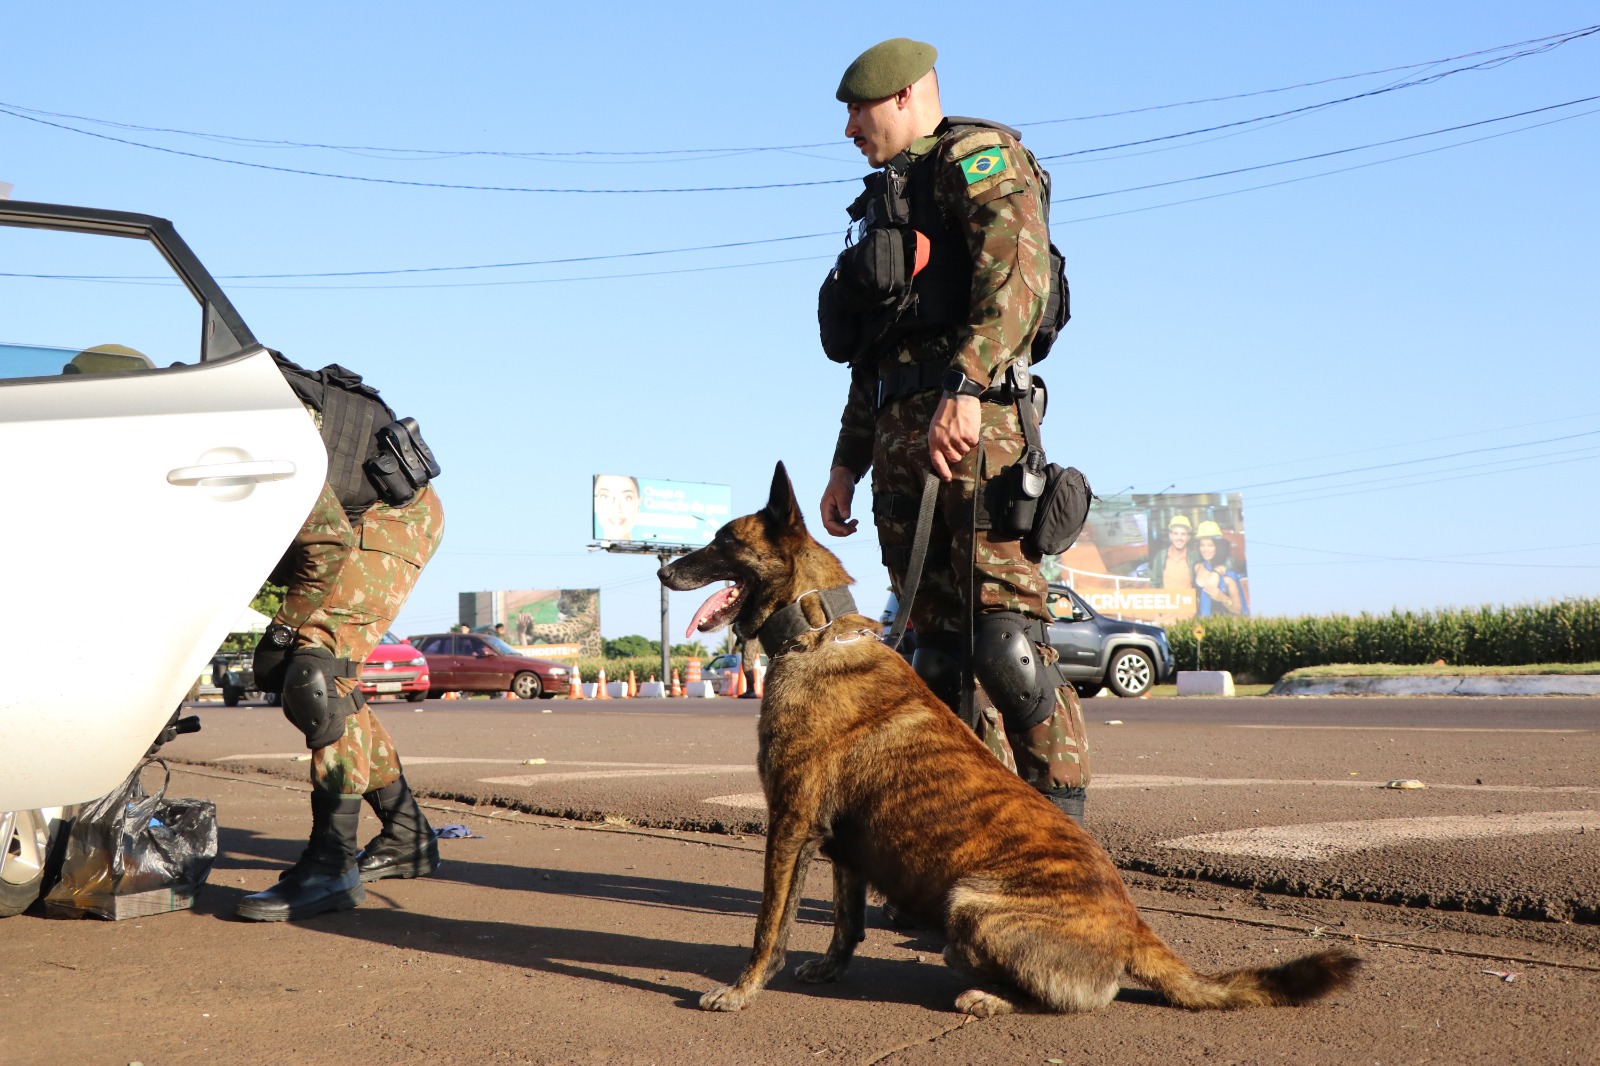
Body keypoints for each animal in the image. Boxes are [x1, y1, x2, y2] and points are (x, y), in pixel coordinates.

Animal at [656, 464, 1356, 1011]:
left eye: (722, 540)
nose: (664, 570)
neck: (815, 629)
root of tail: (1134, 928)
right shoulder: (841, 847)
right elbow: (845, 921)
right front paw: (829, 968)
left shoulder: (790, 824)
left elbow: (768, 926)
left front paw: (743, 990)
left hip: (968, 904)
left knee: (1063, 996)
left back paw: (986, 997)